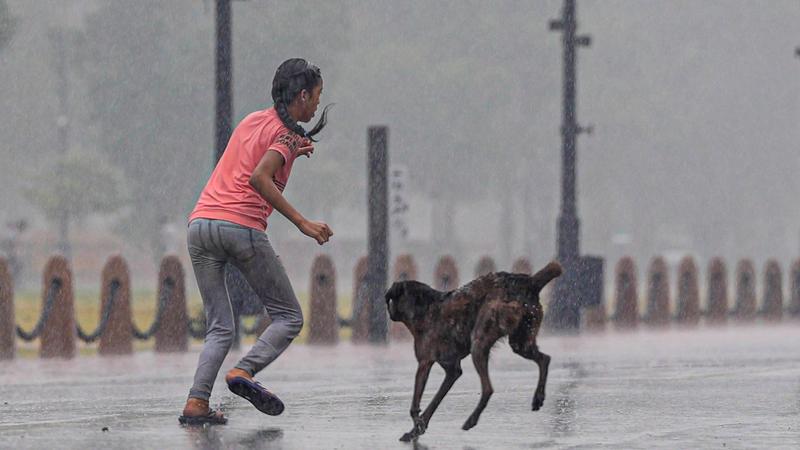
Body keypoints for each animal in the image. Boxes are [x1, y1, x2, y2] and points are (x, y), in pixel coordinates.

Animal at [386, 262, 564, 442]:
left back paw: (472, 420)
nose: (389, 313)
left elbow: (415, 404)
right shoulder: (452, 370)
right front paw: (417, 429)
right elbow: (433, 403)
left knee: (488, 388)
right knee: (544, 359)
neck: (422, 308)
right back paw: (538, 397)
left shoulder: (424, 363)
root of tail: (530, 282)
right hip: (521, 342)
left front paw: (416, 427)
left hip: (480, 341)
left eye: (390, 300)